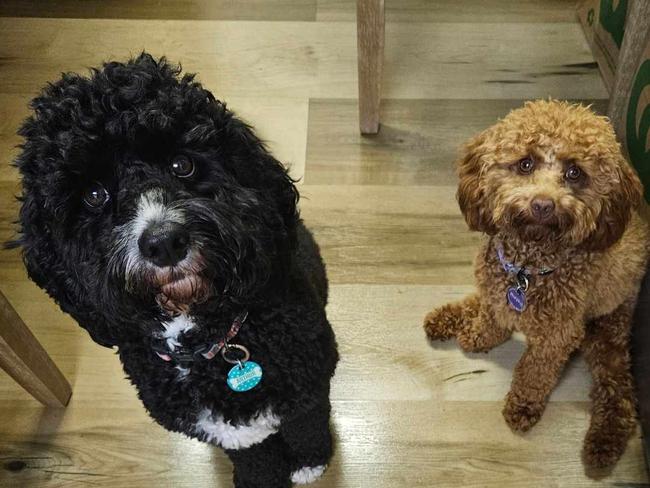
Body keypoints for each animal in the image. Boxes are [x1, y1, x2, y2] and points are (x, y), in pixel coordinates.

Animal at [11, 53, 340, 488]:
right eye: (94, 194)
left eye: (181, 163)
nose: (164, 242)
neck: (210, 346)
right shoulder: (233, 434)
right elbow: (257, 458)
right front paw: (262, 479)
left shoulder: (307, 389)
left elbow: (307, 428)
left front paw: (310, 462)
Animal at [422, 99, 648, 468]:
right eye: (525, 163)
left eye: (575, 172)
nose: (543, 204)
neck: (528, 269)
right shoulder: (496, 290)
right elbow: (490, 318)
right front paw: (477, 336)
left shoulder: (558, 336)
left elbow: (534, 372)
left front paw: (522, 406)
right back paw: (445, 318)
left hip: (607, 332)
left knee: (618, 393)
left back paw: (602, 445)